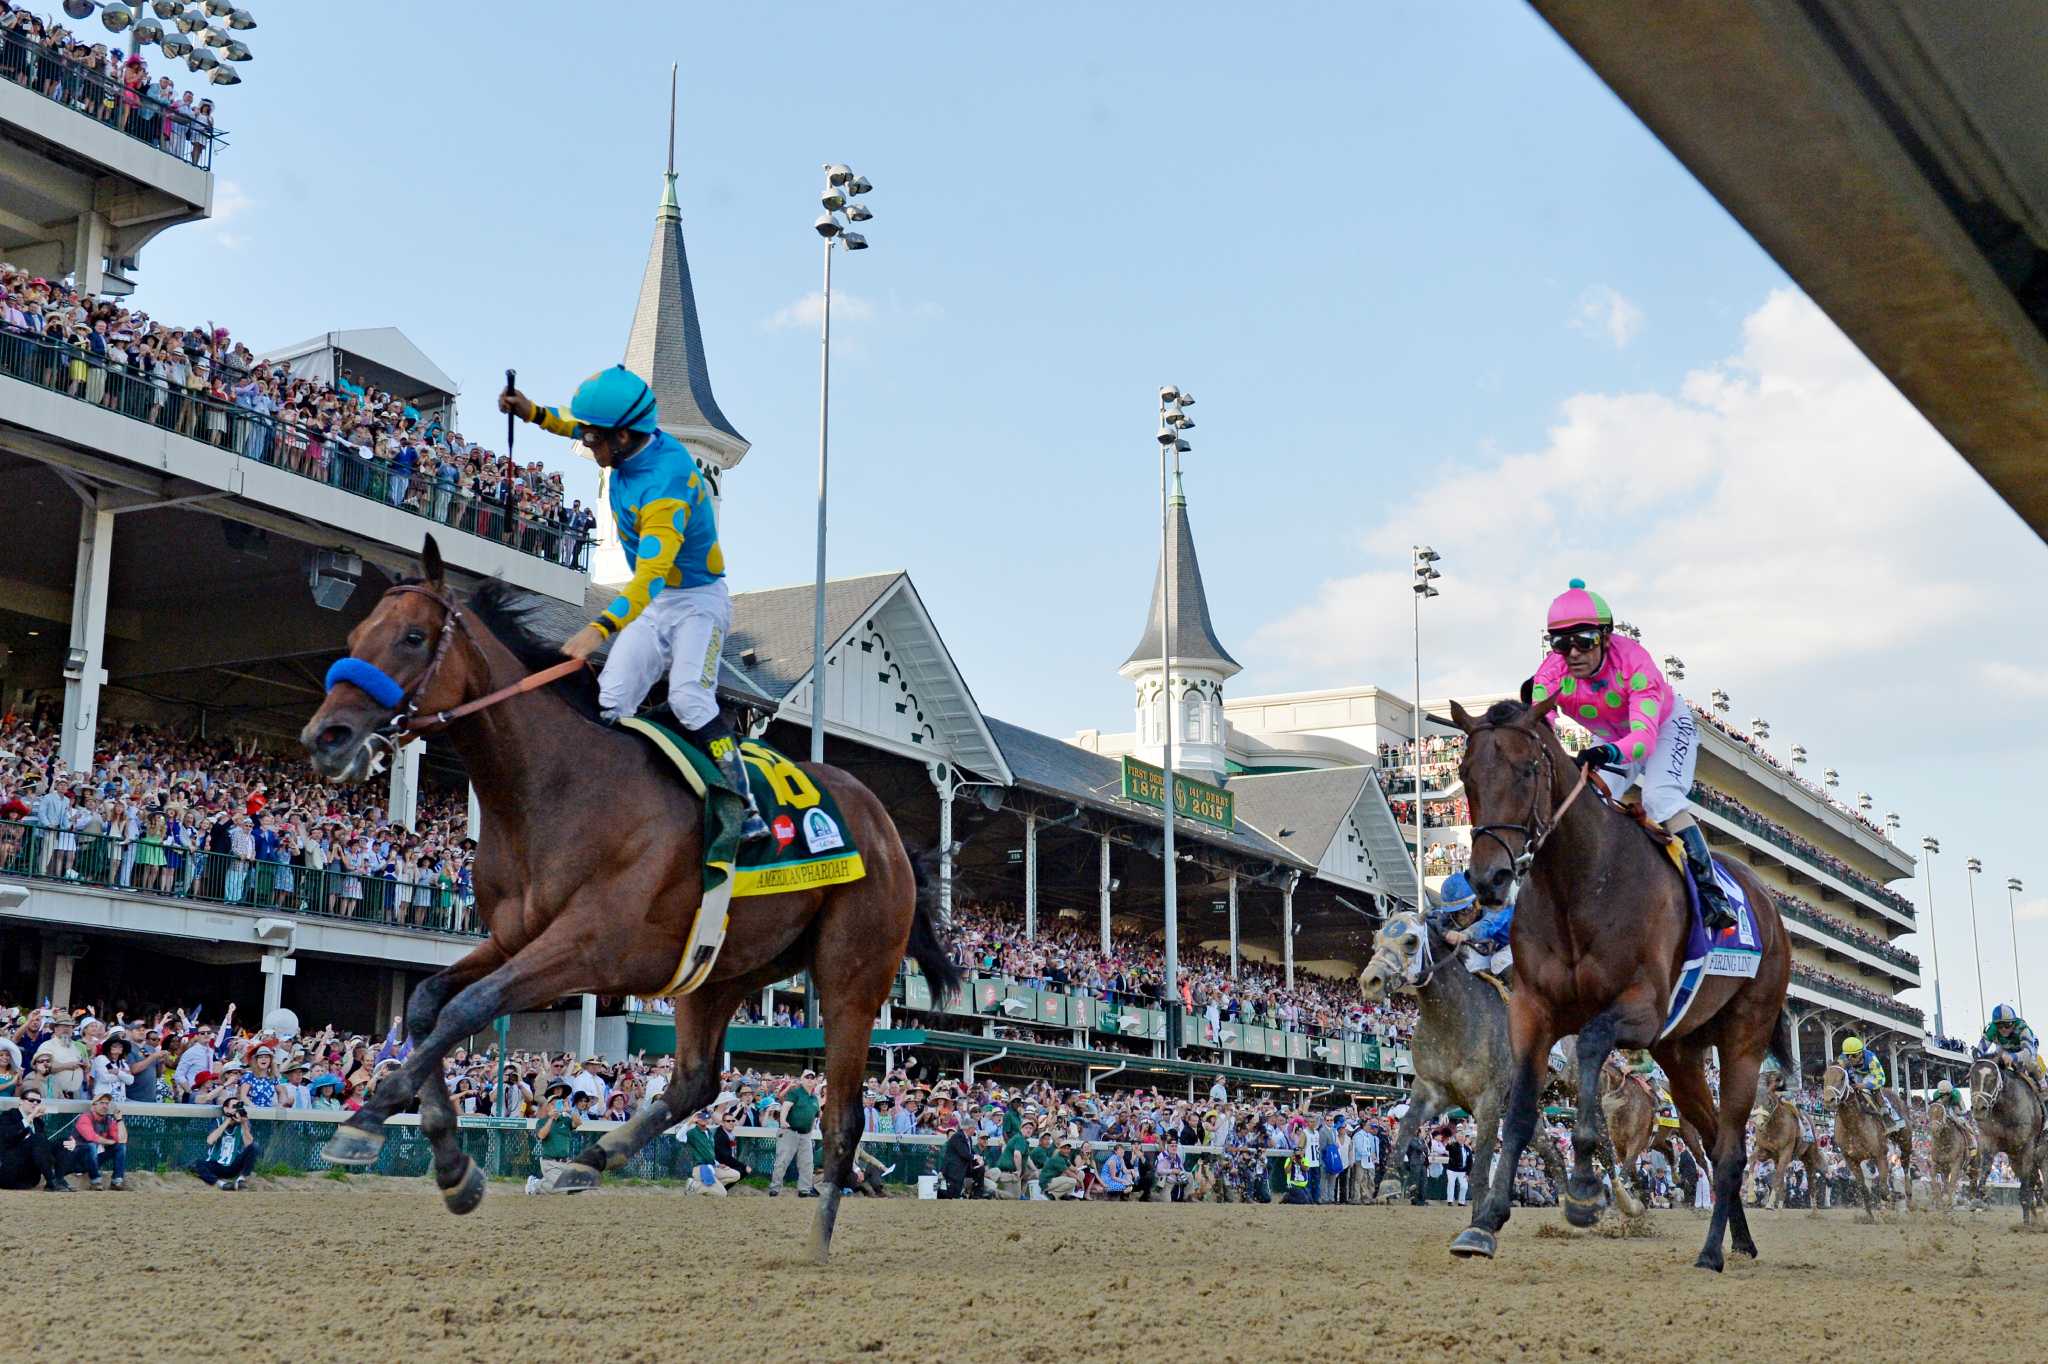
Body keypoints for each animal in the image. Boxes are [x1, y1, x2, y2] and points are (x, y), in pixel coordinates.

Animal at [296, 536, 958, 1261]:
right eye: (356, 636)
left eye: (413, 637)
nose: (326, 736)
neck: (556, 785)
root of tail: (890, 832)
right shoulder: (515, 936)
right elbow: (426, 1004)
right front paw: (449, 1165)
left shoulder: (591, 947)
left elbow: (469, 1006)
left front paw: (368, 1119)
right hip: (717, 970)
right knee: (698, 1080)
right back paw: (589, 1159)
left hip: (851, 975)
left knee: (844, 1116)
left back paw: (816, 1243)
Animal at [1441, 696, 1794, 1269]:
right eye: (1466, 773)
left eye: (1527, 769)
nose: (1489, 879)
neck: (1582, 882)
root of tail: (1768, 903)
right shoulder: (1532, 1010)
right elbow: (1521, 1110)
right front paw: (1485, 1221)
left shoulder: (1642, 1011)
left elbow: (1589, 1048)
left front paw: (1585, 1188)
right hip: (1681, 1055)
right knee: (1715, 1140)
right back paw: (1740, 1239)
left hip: (1744, 1039)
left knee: (1730, 1147)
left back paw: (1711, 1252)